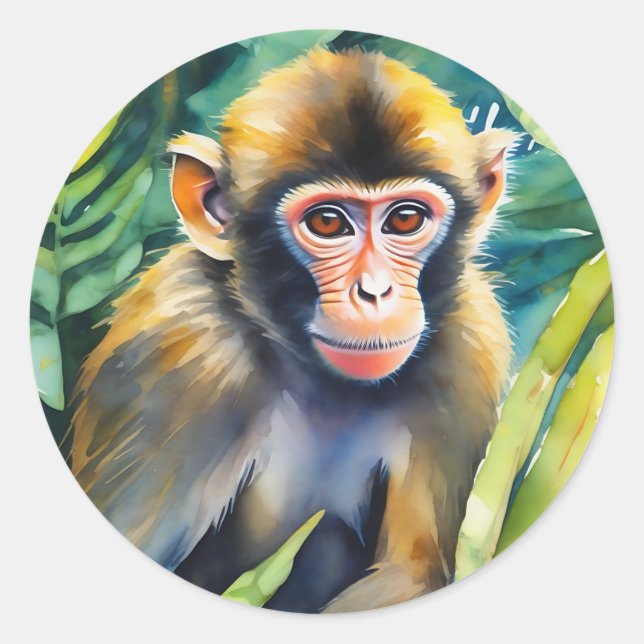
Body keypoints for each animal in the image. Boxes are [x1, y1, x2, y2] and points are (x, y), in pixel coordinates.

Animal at [68, 48, 513, 613]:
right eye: (327, 223)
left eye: (405, 219)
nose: (374, 292)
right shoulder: (179, 352)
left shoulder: (469, 346)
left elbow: (411, 574)